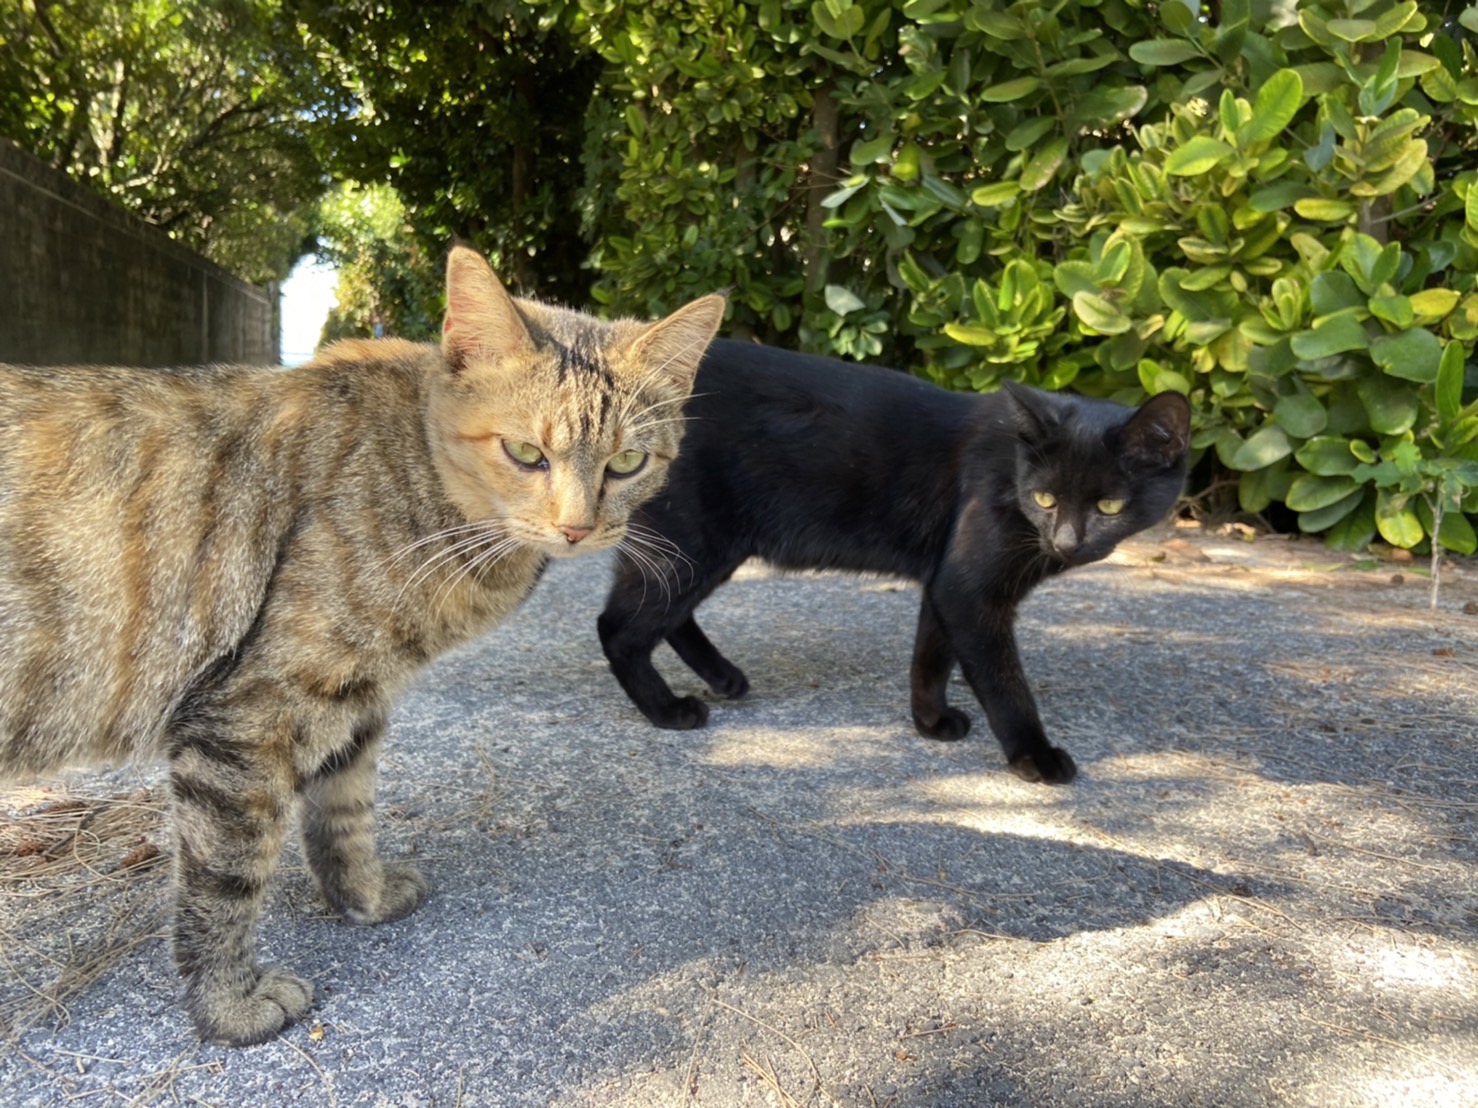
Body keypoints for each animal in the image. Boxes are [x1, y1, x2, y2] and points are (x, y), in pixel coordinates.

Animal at [0, 245, 727, 1051]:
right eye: (525, 452)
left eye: (627, 462)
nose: (576, 529)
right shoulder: (249, 718)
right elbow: (225, 879)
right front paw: (228, 1005)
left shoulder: (355, 698)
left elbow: (344, 814)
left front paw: (365, 900)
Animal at [600, 342, 1188, 785]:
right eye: (1045, 498)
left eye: (1108, 506)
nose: (1066, 541)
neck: (1011, 470)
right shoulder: (969, 590)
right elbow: (1003, 681)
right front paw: (1033, 755)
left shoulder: (945, 583)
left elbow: (931, 656)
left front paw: (930, 720)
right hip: (695, 539)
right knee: (618, 627)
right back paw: (667, 710)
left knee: (668, 615)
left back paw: (722, 676)